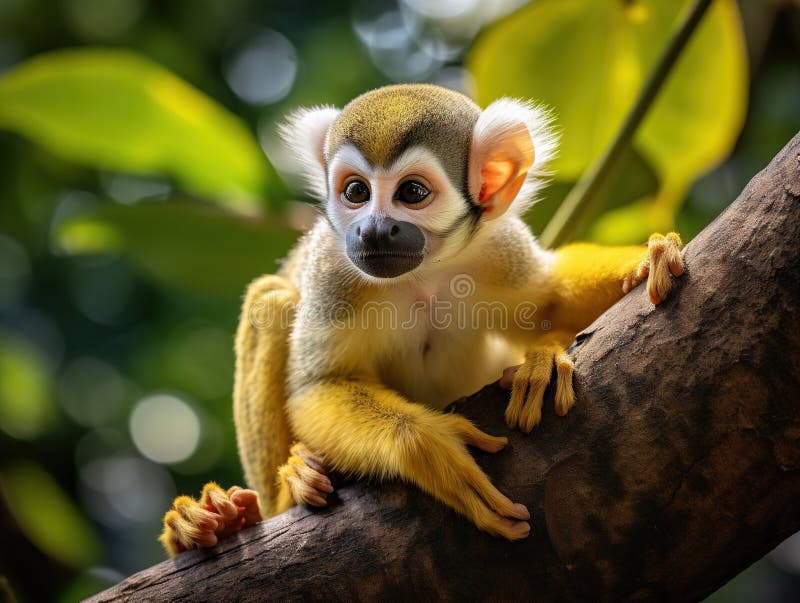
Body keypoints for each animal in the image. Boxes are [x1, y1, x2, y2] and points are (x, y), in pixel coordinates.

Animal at [159, 84, 684, 554]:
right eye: (356, 191)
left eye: (412, 192)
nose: (373, 230)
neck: (424, 272)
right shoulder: (333, 265)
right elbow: (320, 384)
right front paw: (428, 447)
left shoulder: (498, 244)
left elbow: (548, 301)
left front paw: (647, 259)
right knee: (270, 301)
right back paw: (269, 497)